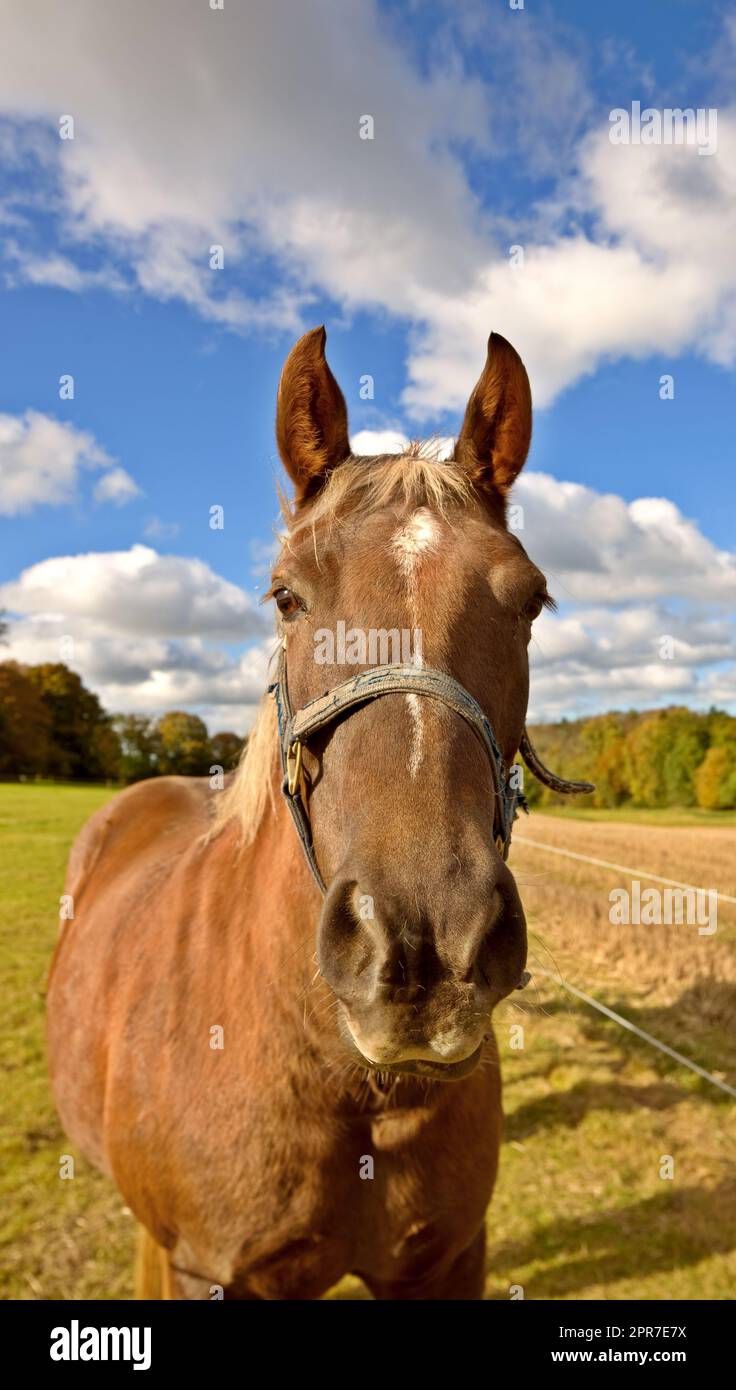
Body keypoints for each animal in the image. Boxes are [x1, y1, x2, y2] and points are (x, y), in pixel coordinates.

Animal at [45, 328, 587, 1301]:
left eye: (530, 600)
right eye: (286, 596)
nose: (426, 943)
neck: (339, 1080)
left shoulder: (448, 1258)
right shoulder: (205, 1271)